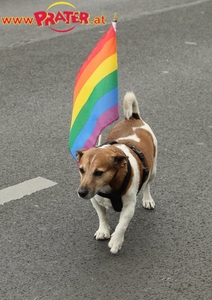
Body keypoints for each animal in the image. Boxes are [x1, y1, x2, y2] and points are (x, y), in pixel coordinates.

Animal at [75, 91, 157, 253]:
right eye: (81, 170)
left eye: (98, 172)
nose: (81, 193)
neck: (108, 188)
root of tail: (132, 118)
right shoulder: (95, 200)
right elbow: (102, 215)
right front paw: (103, 230)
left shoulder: (129, 206)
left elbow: (122, 224)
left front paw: (116, 241)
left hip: (153, 170)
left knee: (147, 184)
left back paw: (147, 199)